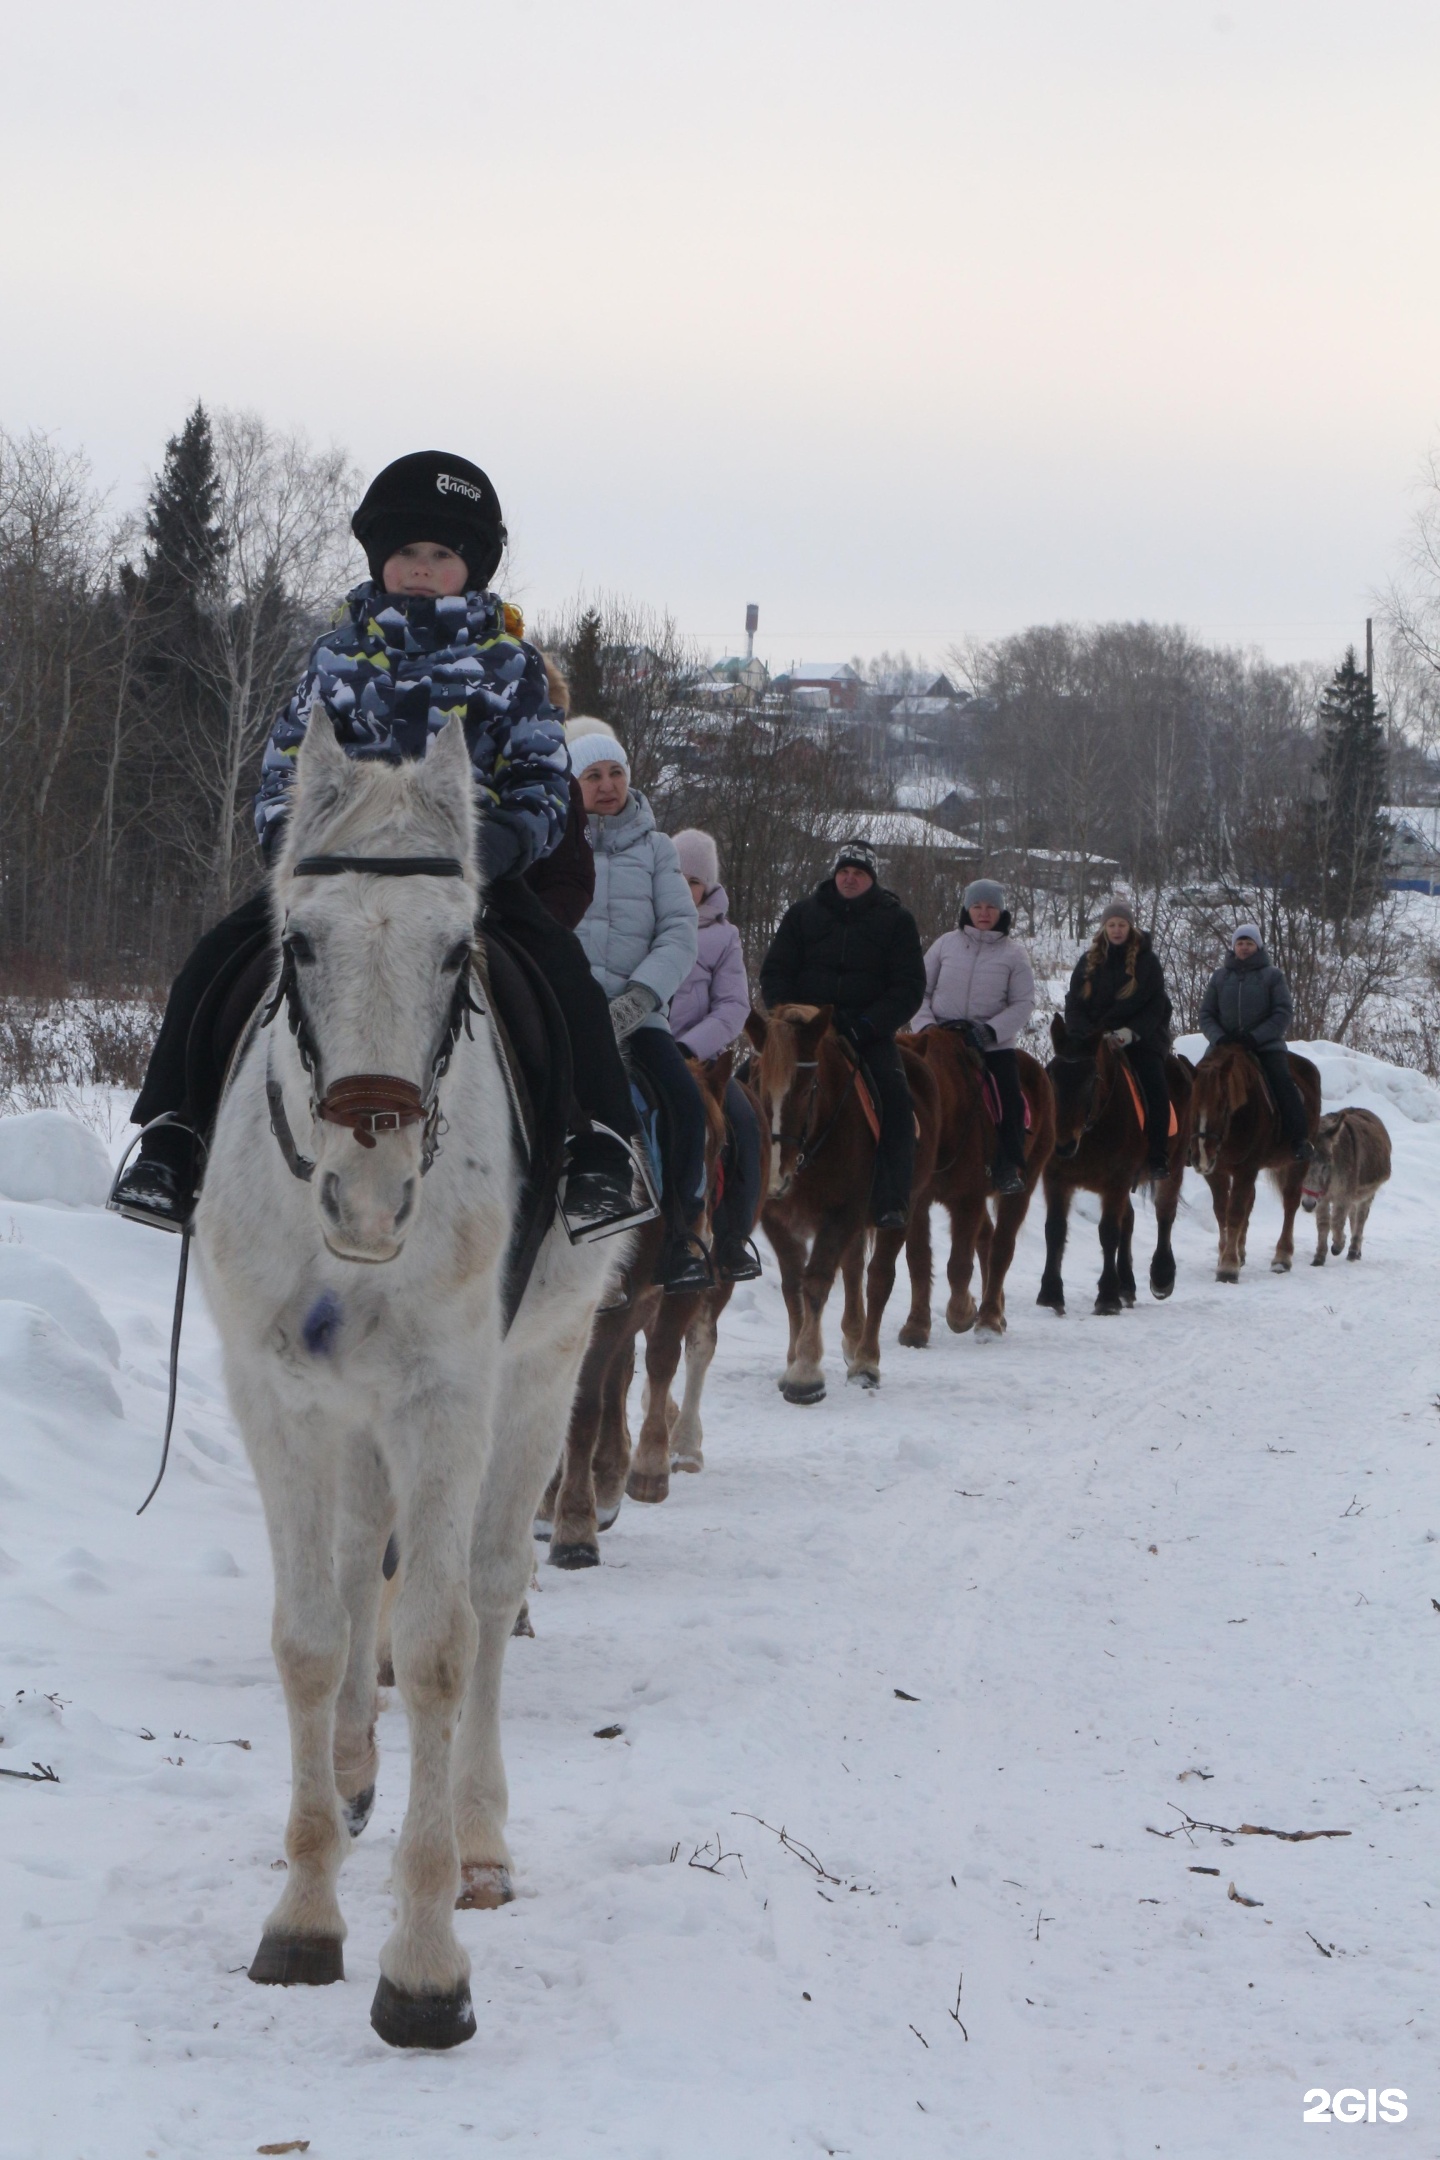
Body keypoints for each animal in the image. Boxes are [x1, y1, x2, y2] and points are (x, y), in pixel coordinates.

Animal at [197, 717, 626, 2047]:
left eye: (455, 951)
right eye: (299, 941)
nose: (370, 1197)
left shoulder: (448, 1403)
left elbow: (436, 1645)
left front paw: (425, 1970)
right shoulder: (277, 1400)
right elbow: (309, 1636)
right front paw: (303, 1917)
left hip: (538, 1379)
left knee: (488, 1597)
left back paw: (478, 1842)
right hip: (353, 1420)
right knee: (353, 1578)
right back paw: (348, 1777)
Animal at [742, 997, 945, 1399]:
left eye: (808, 1086)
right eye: (756, 1081)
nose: (774, 1177)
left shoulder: (841, 1214)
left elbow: (817, 1281)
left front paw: (805, 1373)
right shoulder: (778, 1220)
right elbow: (792, 1285)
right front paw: (793, 1361)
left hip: (901, 1210)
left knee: (879, 1278)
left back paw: (866, 1362)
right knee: (852, 1269)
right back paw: (852, 1339)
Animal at [893, 1023, 1053, 1339]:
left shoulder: (967, 1200)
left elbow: (959, 1264)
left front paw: (961, 1314)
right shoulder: (919, 1199)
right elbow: (918, 1258)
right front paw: (917, 1326)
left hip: (1022, 1187)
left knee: (1001, 1247)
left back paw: (990, 1317)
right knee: (987, 1240)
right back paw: (995, 1311)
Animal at [1036, 1015, 1191, 1313]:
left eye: (1090, 1079)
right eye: (1052, 1075)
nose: (1062, 1145)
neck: (1090, 1133)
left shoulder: (1115, 1181)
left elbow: (1108, 1232)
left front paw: (1107, 1297)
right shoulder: (1056, 1178)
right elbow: (1055, 1230)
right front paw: (1050, 1293)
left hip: (1172, 1168)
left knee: (1164, 1215)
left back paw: (1161, 1276)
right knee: (1128, 1221)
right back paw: (1127, 1285)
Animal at [1191, 1036, 1321, 1270]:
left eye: (1223, 1105)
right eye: (1191, 1103)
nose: (1202, 1156)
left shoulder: (1246, 1167)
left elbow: (1235, 1211)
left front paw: (1228, 1266)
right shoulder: (1216, 1172)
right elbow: (1222, 1211)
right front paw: (1226, 1254)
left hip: (1299, 1160)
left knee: (1290, 1201)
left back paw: (1282, 1256)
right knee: (1251, 1201)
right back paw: (1241, 1251)